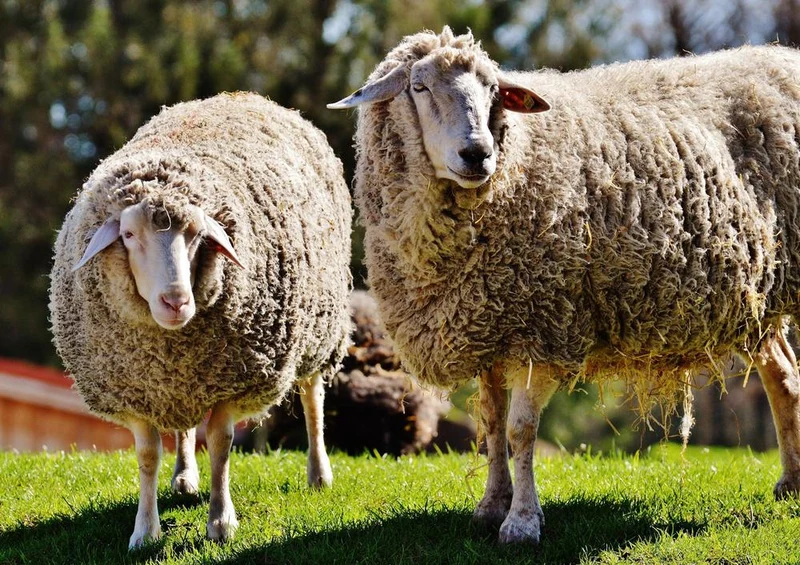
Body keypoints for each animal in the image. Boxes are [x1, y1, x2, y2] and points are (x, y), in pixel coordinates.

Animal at [49, 92, 352, 549]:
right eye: (129, 236)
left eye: (196, 235)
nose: (176, 301)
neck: (169, 348)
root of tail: (246, 96)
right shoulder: (138, 392)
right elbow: (147, 455)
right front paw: (145, 530)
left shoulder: (235, 382)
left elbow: (222, 445)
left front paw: (221, 522)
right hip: (185, 385)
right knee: (184, 429)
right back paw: (184, 477)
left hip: (321, 333)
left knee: (312, 400)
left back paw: (319, 474)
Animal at [329, 27, 800, 544]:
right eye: (419, 86)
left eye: (494, 92)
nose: (478, 153)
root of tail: (782, 57)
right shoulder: (487, 324)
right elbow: (492, 422)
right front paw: (491, 506)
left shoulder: (543, 327)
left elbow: (520, 430)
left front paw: (521, 522)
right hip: (759, 300)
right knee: (785, 376)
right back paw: (790, 483)